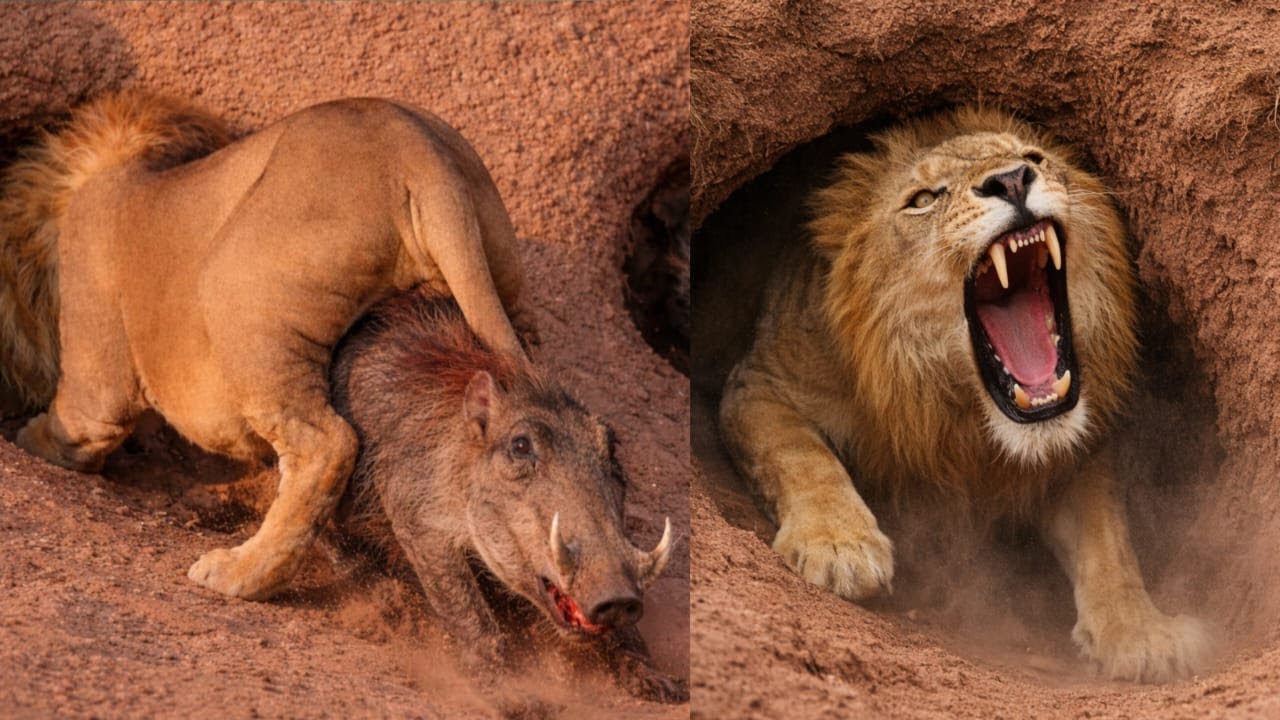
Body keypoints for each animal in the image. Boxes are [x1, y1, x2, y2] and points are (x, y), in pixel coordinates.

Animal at [0, 89, 537, 601]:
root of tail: (416, 150)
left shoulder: (97, 367)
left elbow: (79, 427)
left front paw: (26, 439)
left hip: (242, 300)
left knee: (326, 445)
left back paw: (240, 573)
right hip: (501, 284)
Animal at [718, 107, 1211, 682]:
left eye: (1034, 158)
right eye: (923, 199)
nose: (1012, 180)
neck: (960, 415)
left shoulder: (1075, 448)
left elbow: (1106, 535)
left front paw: (1141, 630)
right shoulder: (759, 383)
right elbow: (800, 454)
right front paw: (840, 545)